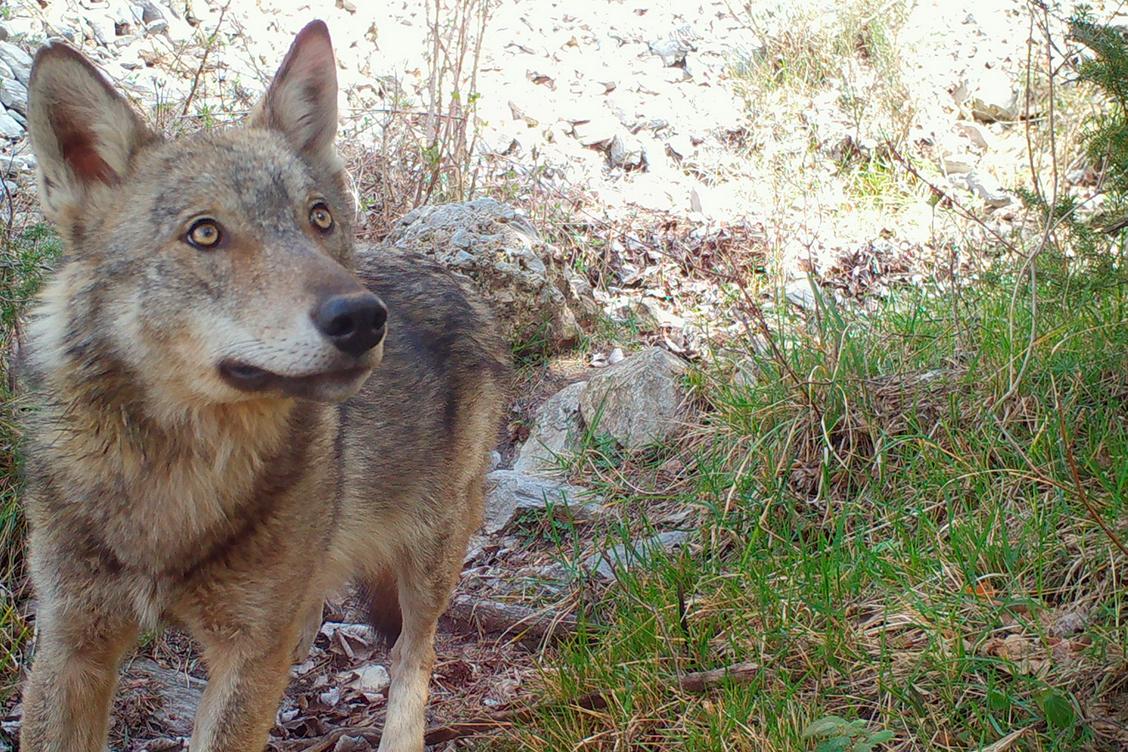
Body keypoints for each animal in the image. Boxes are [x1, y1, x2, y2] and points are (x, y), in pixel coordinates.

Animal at [16, 20, 509, 752]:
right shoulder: (69, 648)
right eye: (205, 233)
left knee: (413, 654)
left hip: (431, 556)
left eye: (319, 218)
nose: (363, 318)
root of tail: (460, 284)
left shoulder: (246, 654)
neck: (177, 479)